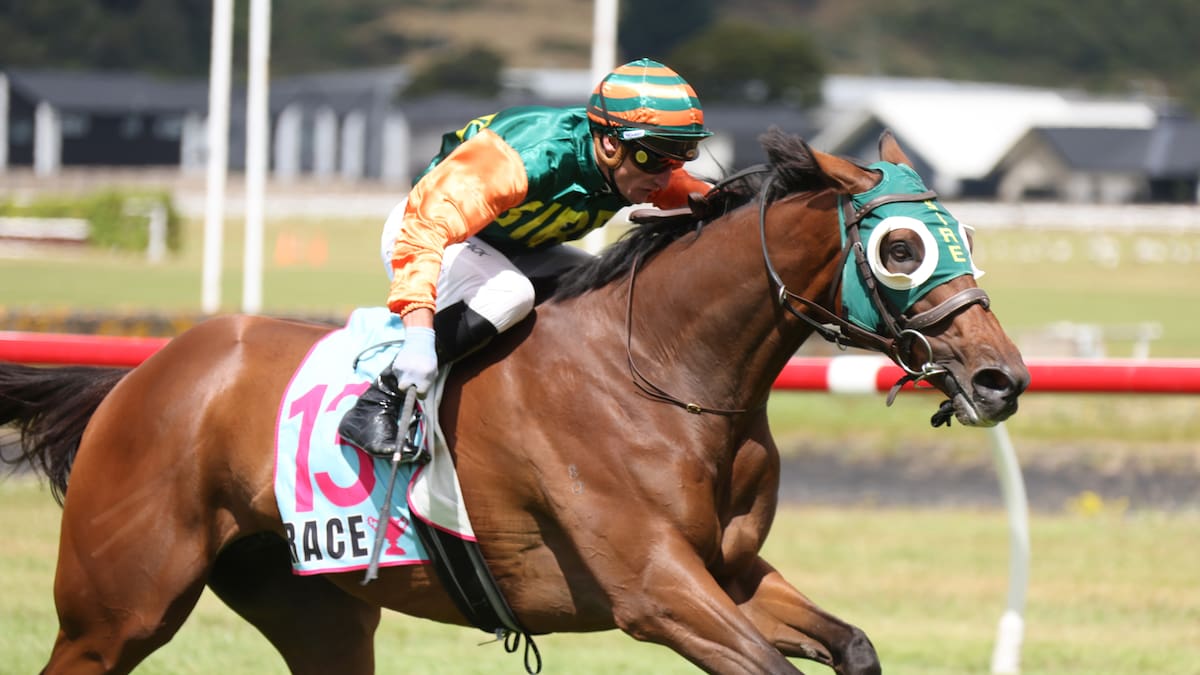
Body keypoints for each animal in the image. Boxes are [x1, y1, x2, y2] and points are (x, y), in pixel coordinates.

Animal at [1, 128, 1027, 675]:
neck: (668, 372)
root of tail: (140, 374)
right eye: (902, 247)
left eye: (967, 235)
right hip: (114, 609)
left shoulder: (729, 571)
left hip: (320, 610)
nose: (1001, 377)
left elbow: (850, 644)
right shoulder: (652, 587)